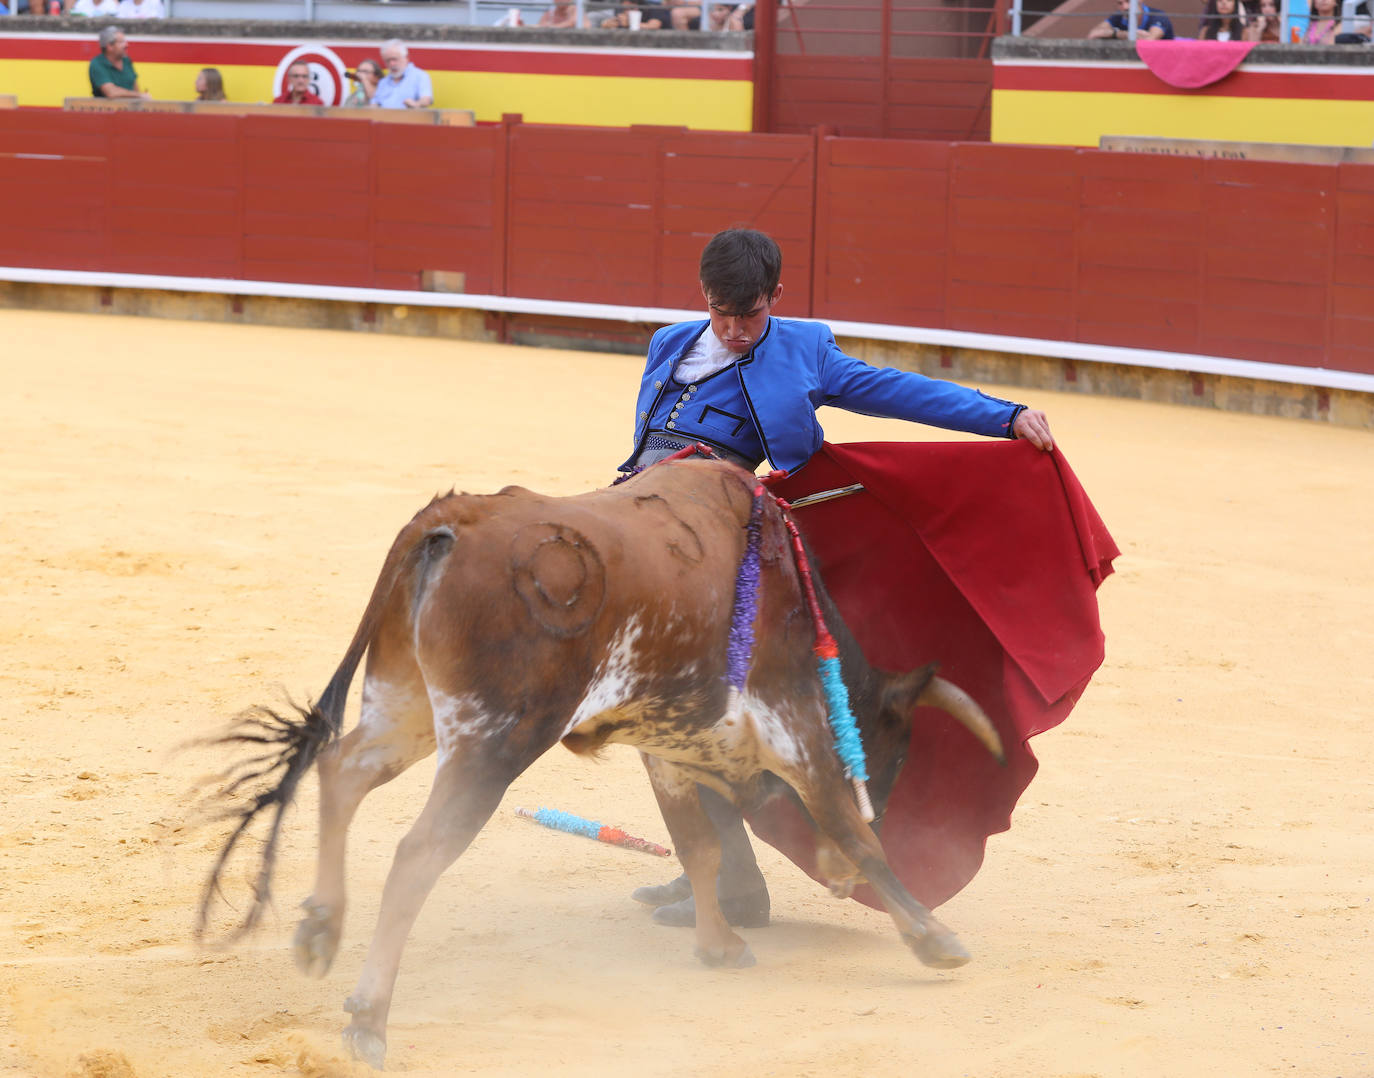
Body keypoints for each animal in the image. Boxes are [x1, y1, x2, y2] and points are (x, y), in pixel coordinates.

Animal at [200, 455, 1000, 1065]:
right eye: (893, 756)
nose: (832, 880)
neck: (791, 598)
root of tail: (452, 520)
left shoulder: (669, 750)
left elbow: (701, 847)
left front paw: (719, 945)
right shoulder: (800, 733)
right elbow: (854, 834)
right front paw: (936, 941)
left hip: (408, 704)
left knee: (343, 771)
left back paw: (319, 931)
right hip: (496, 740)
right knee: (418, 853)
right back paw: (368, 1016)